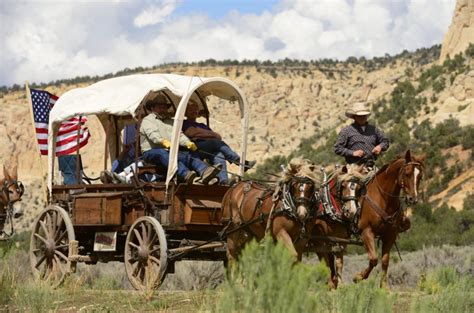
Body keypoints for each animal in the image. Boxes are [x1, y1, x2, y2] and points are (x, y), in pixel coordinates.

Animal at [354, 150, 424, 286]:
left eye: (420, 176)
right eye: (407, 173)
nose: (413, 199)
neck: (383, 198)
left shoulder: (390, 234)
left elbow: (385, 261)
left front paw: (384, 287)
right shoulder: (366, 231)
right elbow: (373, 259)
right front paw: (358, 276)